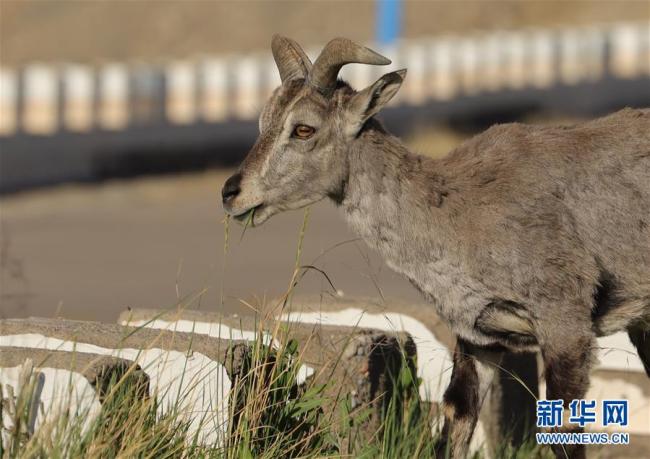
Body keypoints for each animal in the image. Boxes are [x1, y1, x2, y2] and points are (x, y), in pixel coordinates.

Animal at [220, 36, 644, 459]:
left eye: (304, 129)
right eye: (264, 122)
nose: (231, 193)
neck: (461, 212)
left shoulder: (565, 326)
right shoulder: (478, 339)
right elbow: (455, 419)